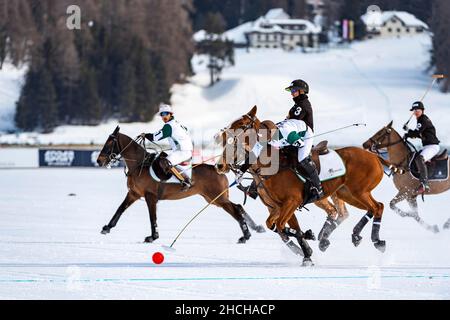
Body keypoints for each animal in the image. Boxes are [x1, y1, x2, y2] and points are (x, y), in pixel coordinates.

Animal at [95, 126, 264, 244]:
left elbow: (152, 217)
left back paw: (246, 235)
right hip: (213, 198)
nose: (99, 160)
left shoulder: (150, 196)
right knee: (238, 207)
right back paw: (252, 231)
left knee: (236, 209)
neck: (139, 164)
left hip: (217, 197)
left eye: (109, 143)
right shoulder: (134, 193)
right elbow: (120, 209)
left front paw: (153, 236)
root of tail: (219, 170)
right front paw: (107, 228)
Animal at [218, 107, 398, 264]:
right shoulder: (276, 207)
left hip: (359, 191)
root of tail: (374, 156)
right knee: (373, 208)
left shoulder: (292, 202)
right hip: (347, 193)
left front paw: (308, 240)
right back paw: (356, 237)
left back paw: (374, 240)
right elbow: (276, 226)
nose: (220, 165)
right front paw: (306, 253)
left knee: (376, 207)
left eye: (242, 125)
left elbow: (282, 226)